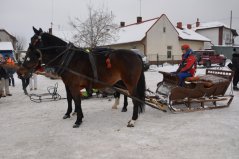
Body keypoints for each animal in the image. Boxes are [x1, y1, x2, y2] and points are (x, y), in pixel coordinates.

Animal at [17, 27, 146, 128]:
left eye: (34, 42)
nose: (20, 71)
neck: (69, 59)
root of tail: (136, 55)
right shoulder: (68, 84)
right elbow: (71, 99)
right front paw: (70, 113)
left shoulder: (74, 85)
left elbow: (77, 101)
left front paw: (78, 120)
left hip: (129, 82)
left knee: (134, 98)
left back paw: (132, 120)